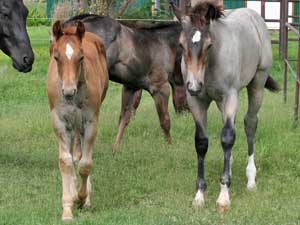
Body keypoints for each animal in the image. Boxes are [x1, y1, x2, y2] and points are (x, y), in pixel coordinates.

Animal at [46, 20, 108, 220]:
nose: (68, 92)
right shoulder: (59, 122)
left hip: (81, 124)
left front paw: (82, 198)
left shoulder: (90, 122)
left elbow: (85, 163)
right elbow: (66, 162)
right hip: (71, 125)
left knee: (81, 155)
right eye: (56, 57)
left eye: (81, 57)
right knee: (74, 156)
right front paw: (67, 207)